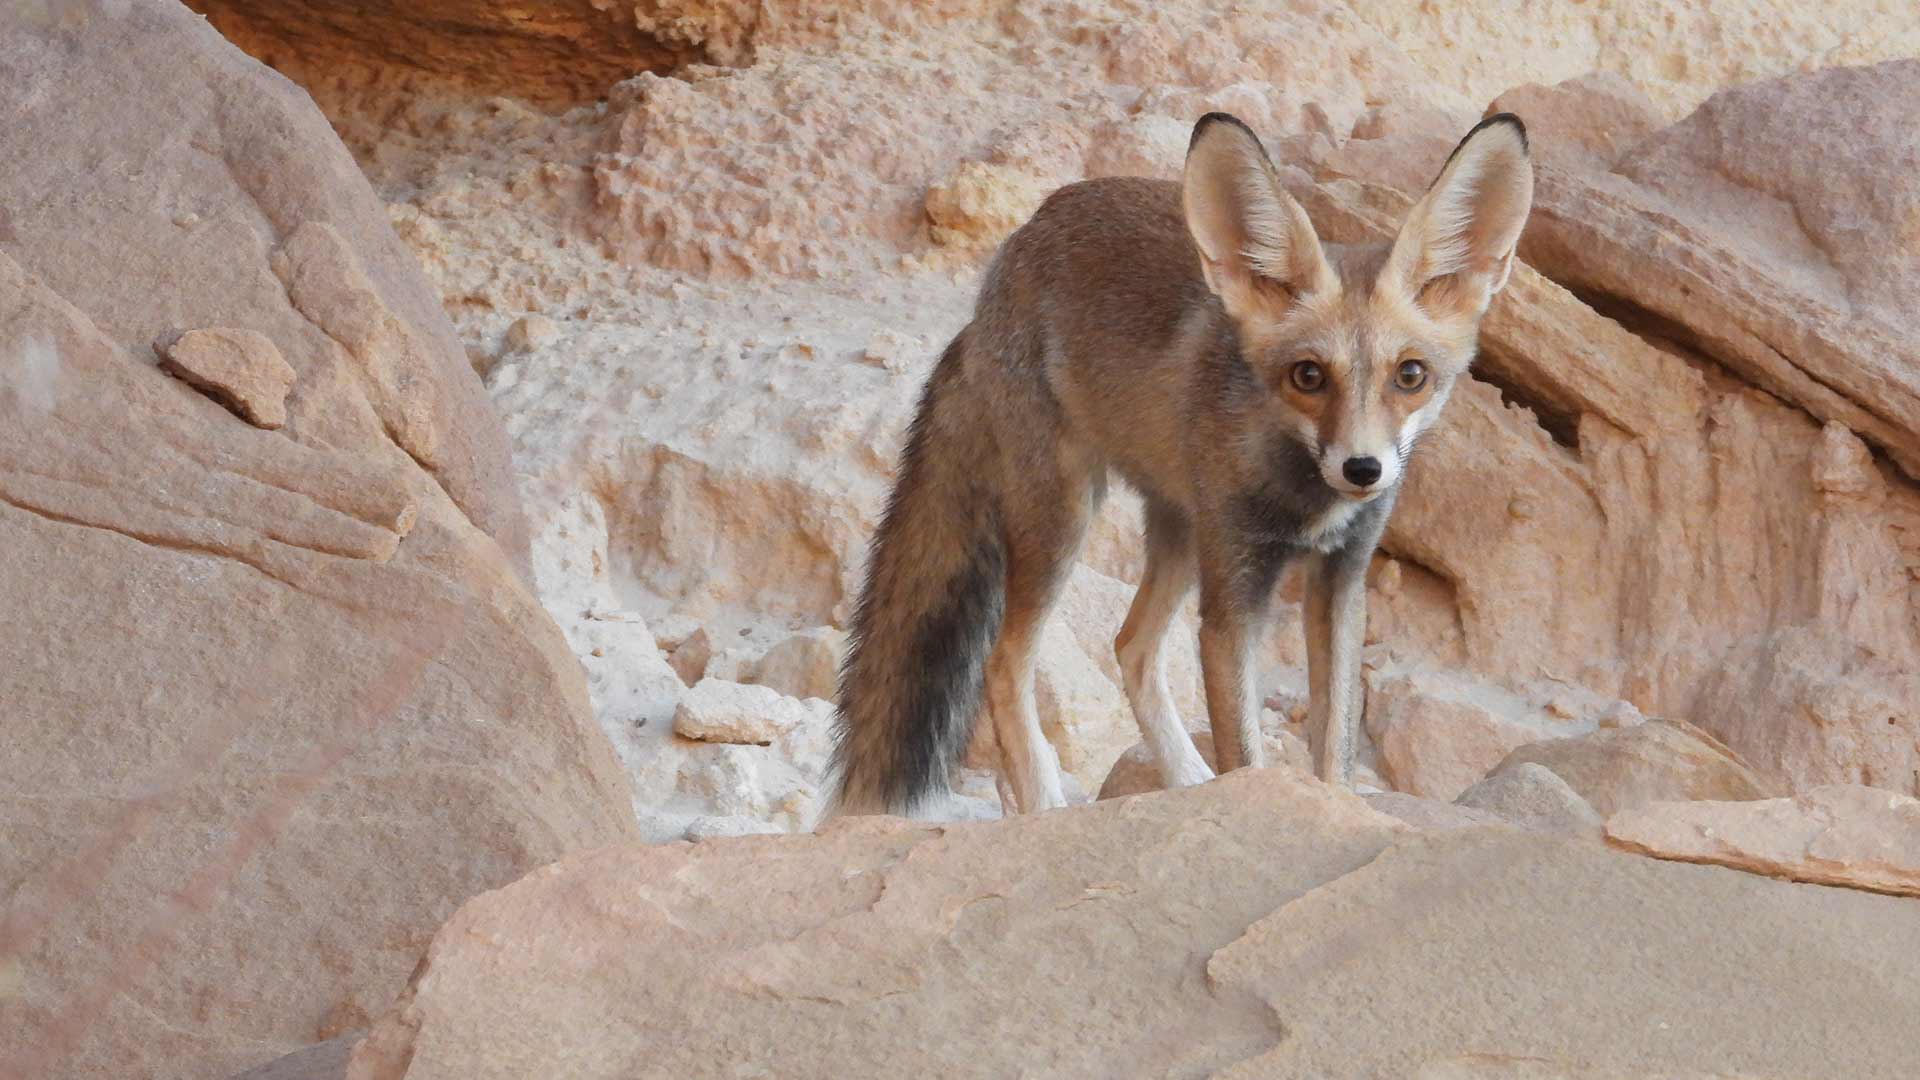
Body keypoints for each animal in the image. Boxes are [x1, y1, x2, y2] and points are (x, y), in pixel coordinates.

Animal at [826, 111, 1534, 818]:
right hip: (1066, 522)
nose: (1362, 470)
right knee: (1005, 665)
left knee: (1131, 647)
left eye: (1410, 376)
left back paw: (1185, 781)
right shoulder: (1231, 603)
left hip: (1181, 530)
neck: (1305, 501)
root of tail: (999, 273)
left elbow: (1334, 756)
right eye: (1308, 376)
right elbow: (1247, 756)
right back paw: (1047, 804)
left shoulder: (1342, 579)